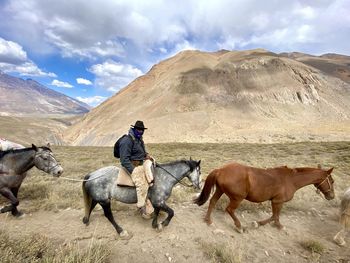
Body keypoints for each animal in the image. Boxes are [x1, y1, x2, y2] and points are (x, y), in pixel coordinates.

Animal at [194, 163, 334, 233]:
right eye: (332, 181)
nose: (331, 196)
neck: (291, 180)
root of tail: (221, 170)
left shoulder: (275, 201)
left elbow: (274, 216)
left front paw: (259, 223)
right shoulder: (278, 201)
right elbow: (275, 216)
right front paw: (276, 226)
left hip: (220, 190)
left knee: (212, 202)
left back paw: (208, 220)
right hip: (237, 198)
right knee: (229, 210)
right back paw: (239, 227)